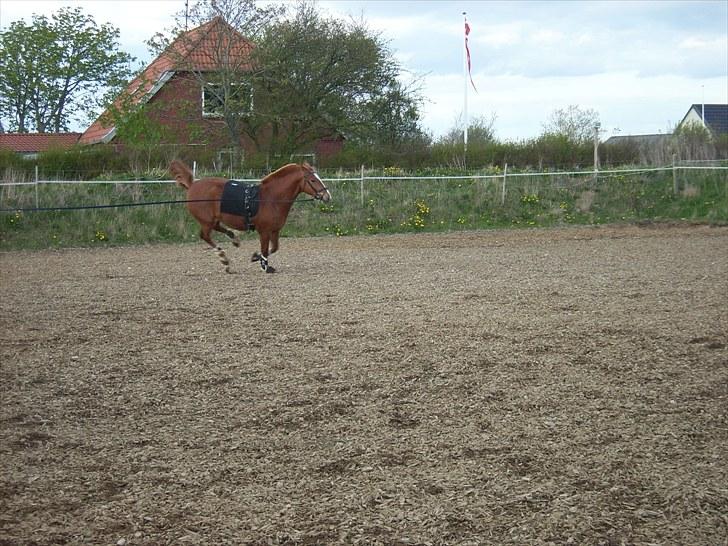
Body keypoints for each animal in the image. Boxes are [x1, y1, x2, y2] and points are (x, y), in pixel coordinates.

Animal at [169, 160, 332, 272]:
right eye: (313, 180)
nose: (327, 196)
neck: (270, 198)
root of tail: (192, 185)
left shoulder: (275, 230)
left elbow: (274, 248)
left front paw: (255, 257)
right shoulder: (264, 231)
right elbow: (265, 249)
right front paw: (265, 266)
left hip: (212, 220)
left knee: (217, 228)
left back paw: (234, 238)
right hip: (206, 221)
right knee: (205, 236)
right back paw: (224, 259)